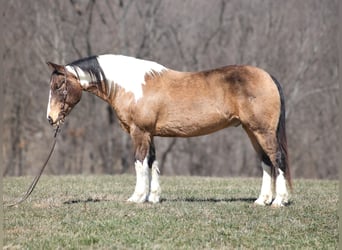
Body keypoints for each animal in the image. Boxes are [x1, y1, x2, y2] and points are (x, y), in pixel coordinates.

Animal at [45, 54, 292, 207]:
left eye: (58, 86)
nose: (50, 118)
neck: (131, 86)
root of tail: (268, 76)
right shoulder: (150, 134)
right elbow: (152, 163)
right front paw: (153, 197)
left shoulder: (139, 132)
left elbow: (139, 162)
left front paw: (137, 197)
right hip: (252, 132)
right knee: (266, 161)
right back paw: (262, 200)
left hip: (262, 131)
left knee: (277, 158)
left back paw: (279, 201)